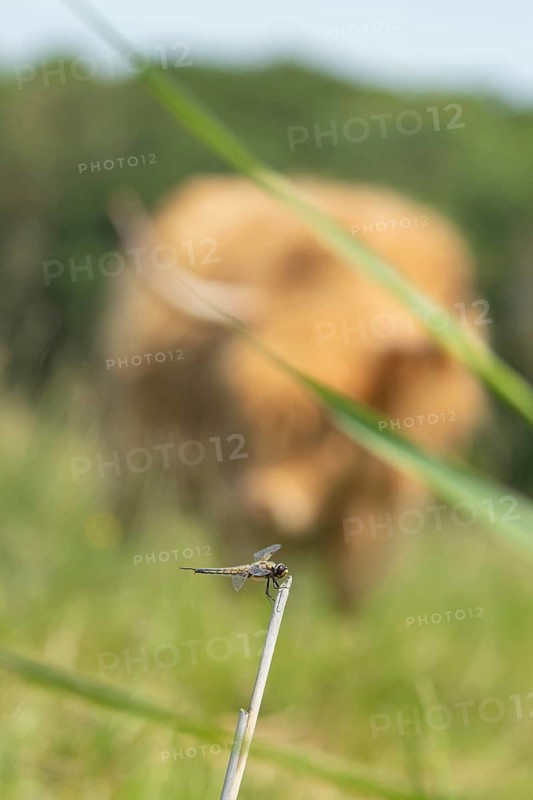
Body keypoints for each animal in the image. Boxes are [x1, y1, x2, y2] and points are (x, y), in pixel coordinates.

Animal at [100, 174, 485, 606]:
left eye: (334, 422)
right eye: (240, 404)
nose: (267, 505)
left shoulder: (380, 511)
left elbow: (349, 595)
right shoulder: (228, 491)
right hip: (129, 454)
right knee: (127, 520)